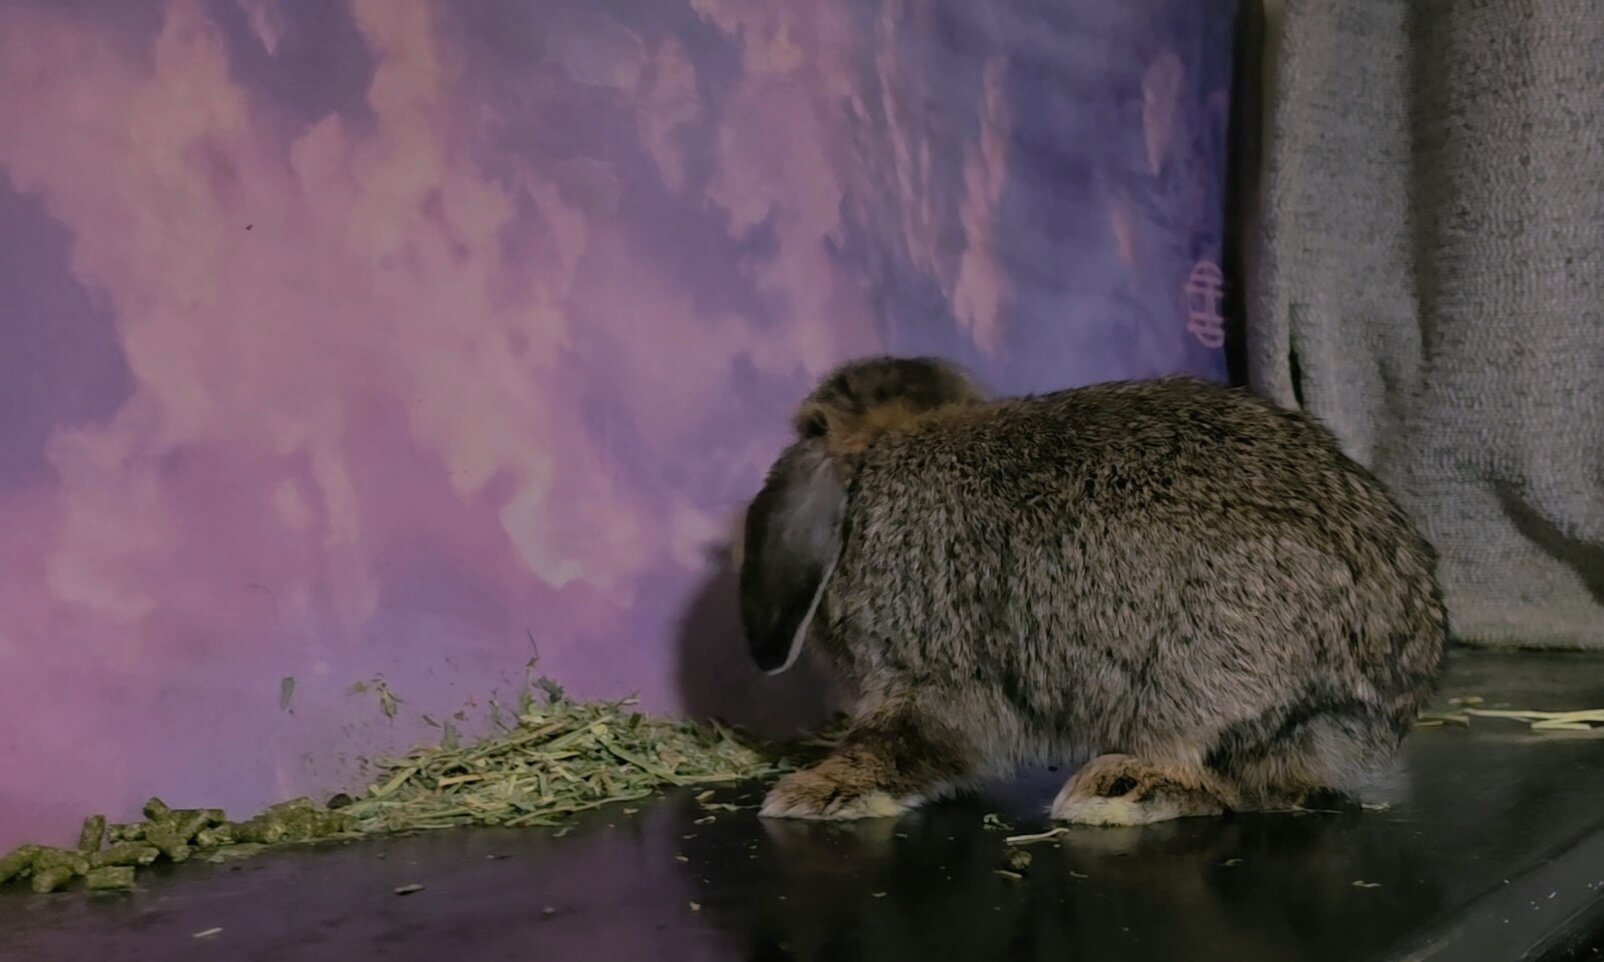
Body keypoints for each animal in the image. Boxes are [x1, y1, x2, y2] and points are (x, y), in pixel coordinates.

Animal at [738, 356, 1447, 826]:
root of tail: (1390, 686)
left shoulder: (925, 673)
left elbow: (907, 743)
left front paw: (811, 794)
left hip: (1198, 674)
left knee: (1217, 781)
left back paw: (1115, 790)